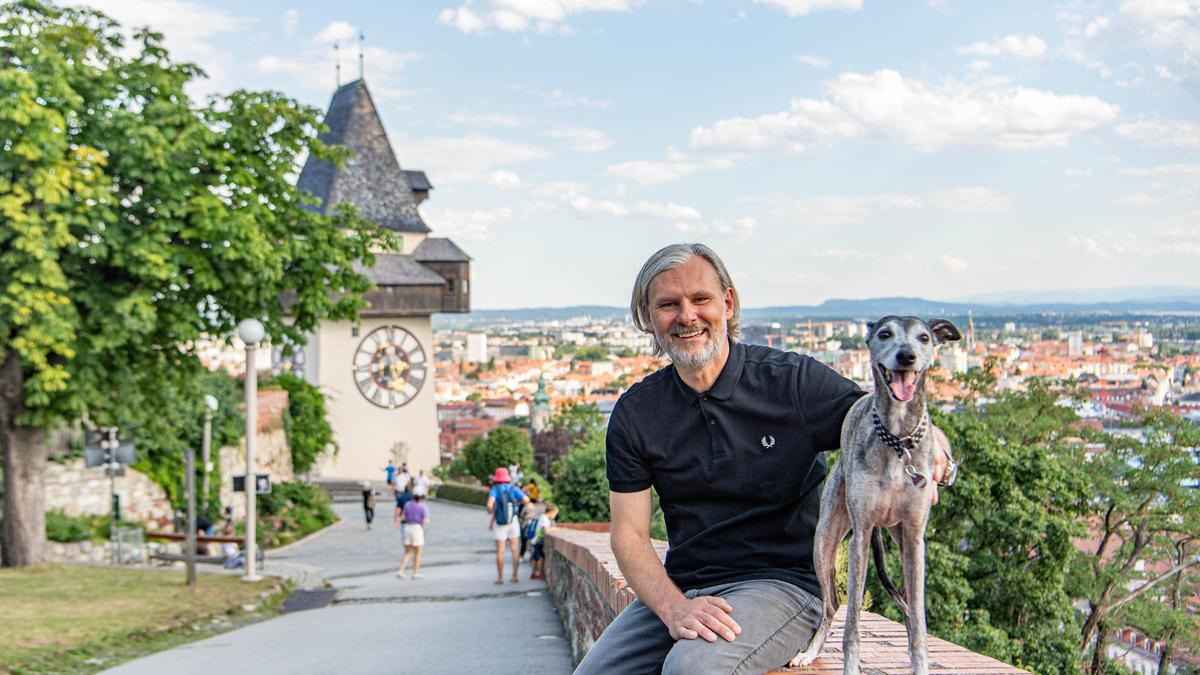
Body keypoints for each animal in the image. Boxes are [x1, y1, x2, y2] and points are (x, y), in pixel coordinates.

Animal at [792, 317, 960, 672]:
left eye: (925, 338)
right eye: (885, 334)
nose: (907, 356)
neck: (898, 442)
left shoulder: (915, 539)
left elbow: (919, 624)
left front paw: (920, 663)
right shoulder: (861, 535)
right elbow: (853, 626)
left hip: (897, 536)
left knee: (908, 610)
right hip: (824, 540)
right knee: (832, 603)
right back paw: (810, 652)